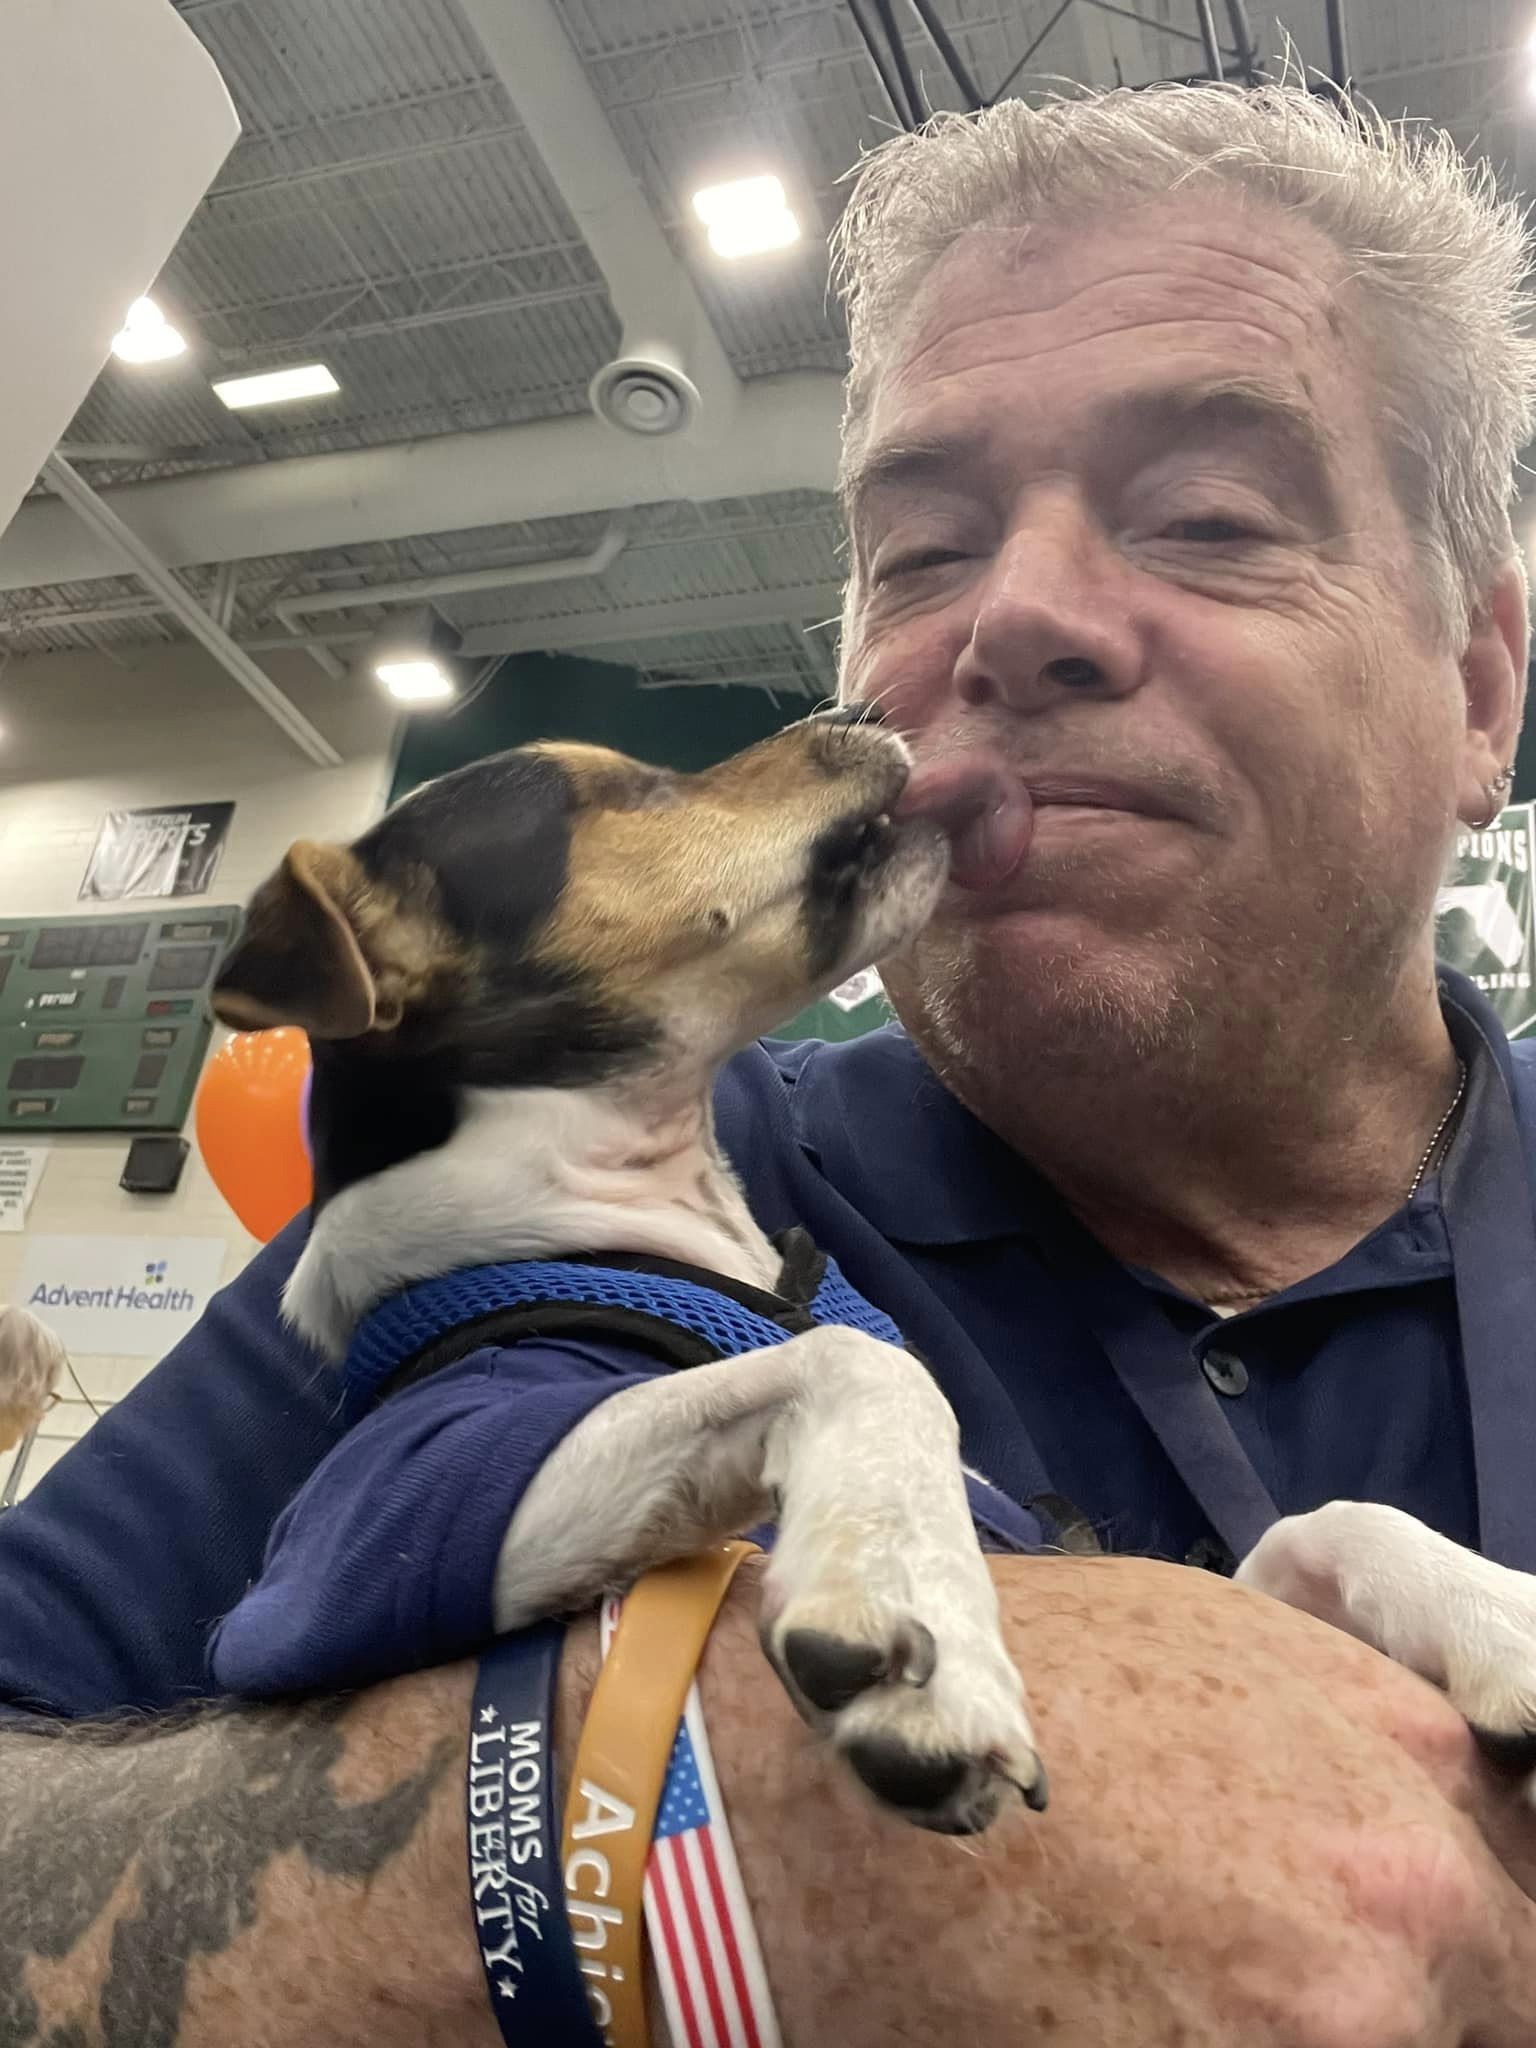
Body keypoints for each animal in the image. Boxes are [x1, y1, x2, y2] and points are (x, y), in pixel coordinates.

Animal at [212, 708, 1536, 1829]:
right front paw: (910, 1603)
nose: (861, 706)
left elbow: (1333, 1520)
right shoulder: (367, 1527)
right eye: (632, 790)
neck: (605, 1230)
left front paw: (1506, 1622)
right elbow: (861, 1362)